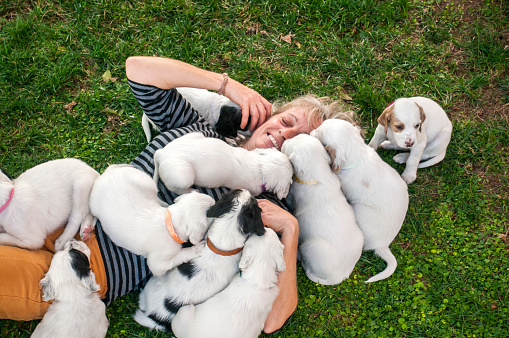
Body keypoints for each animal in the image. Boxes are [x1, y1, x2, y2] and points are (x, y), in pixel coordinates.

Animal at [153, 132, 292, 199]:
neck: (261, 166)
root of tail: (161, 153)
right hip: (184, 176)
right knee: (173, 188)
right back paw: (192, 190)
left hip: (195, 135)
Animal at [280, 135, 364, 286]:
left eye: (290, 143)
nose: (285, 138)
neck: (318, 175)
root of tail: (339, 276)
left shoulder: (292, 196)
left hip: (309, 246)